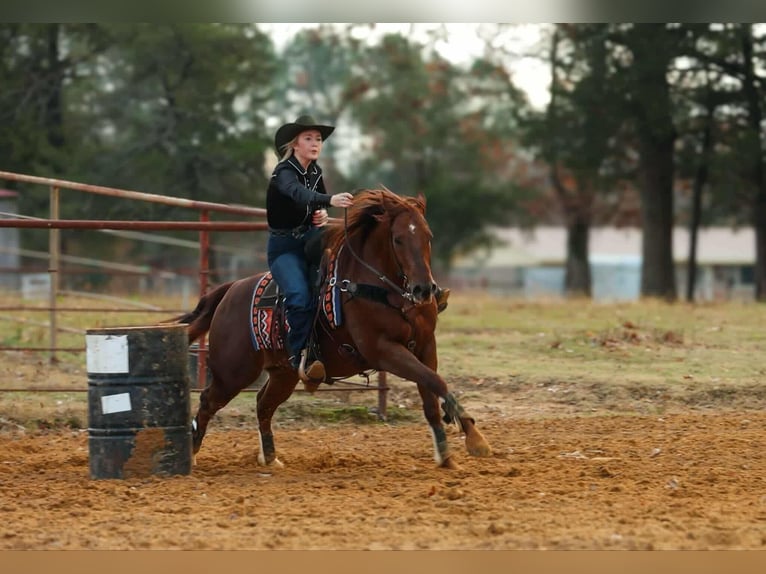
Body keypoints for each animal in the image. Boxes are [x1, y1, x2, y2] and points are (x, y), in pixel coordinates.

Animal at [170, 187, 492, 469]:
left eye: (428, 237)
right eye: (398, 239)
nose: (424, 289)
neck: (382, 289)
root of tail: (230, 290)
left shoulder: (425, 346)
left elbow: (432, 391)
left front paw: (448, 453)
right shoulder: (384, 350)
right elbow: (435, 382)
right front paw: (475, 439)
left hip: (283, 374)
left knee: (263, 404)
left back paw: (271, 457)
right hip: (233, 373)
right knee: (208, 401)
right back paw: (192, 455)